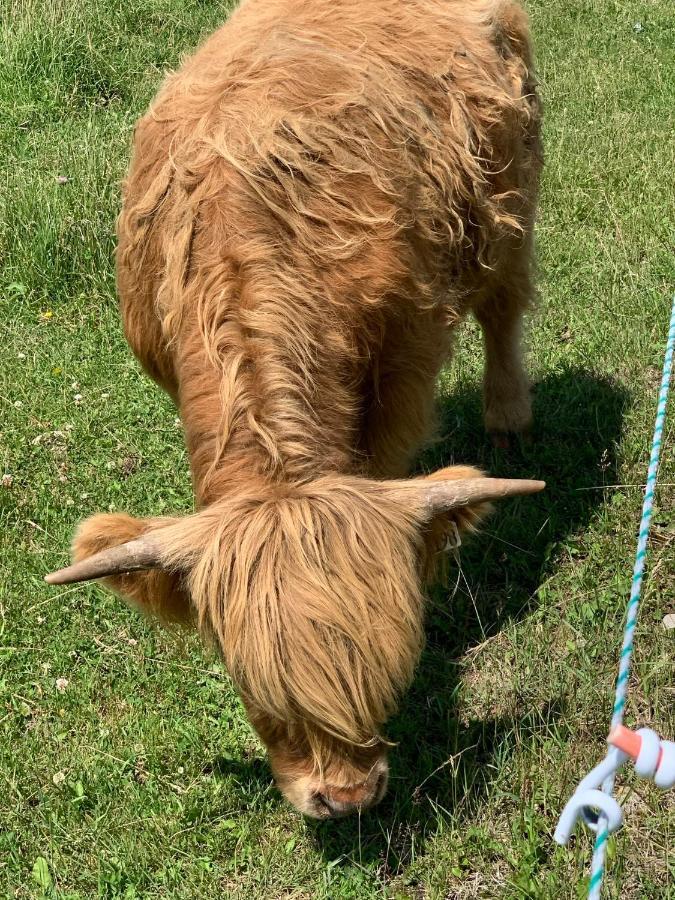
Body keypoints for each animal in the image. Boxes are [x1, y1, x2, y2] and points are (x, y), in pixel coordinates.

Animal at [46, 0, 544, 820]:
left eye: (389, 675)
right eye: (256, 695)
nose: (345, 798)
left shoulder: (402, 365)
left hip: (509, 200)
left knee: (504, 303)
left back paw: (508, 418)